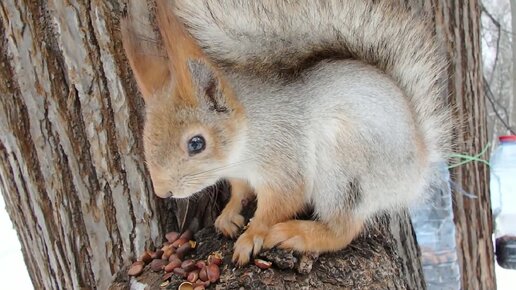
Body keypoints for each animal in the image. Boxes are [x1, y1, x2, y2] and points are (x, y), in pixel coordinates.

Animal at [121, 0, 452, 266]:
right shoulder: (240, 174)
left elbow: (280, 203)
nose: (163, 192)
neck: (245, 139)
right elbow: (241, 191)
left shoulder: (284, 157)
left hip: (343, 168)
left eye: (196, 143)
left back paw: (299, 233)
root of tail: (417, 166)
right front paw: (228, 214)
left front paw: (252, 235)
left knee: (343, 229)